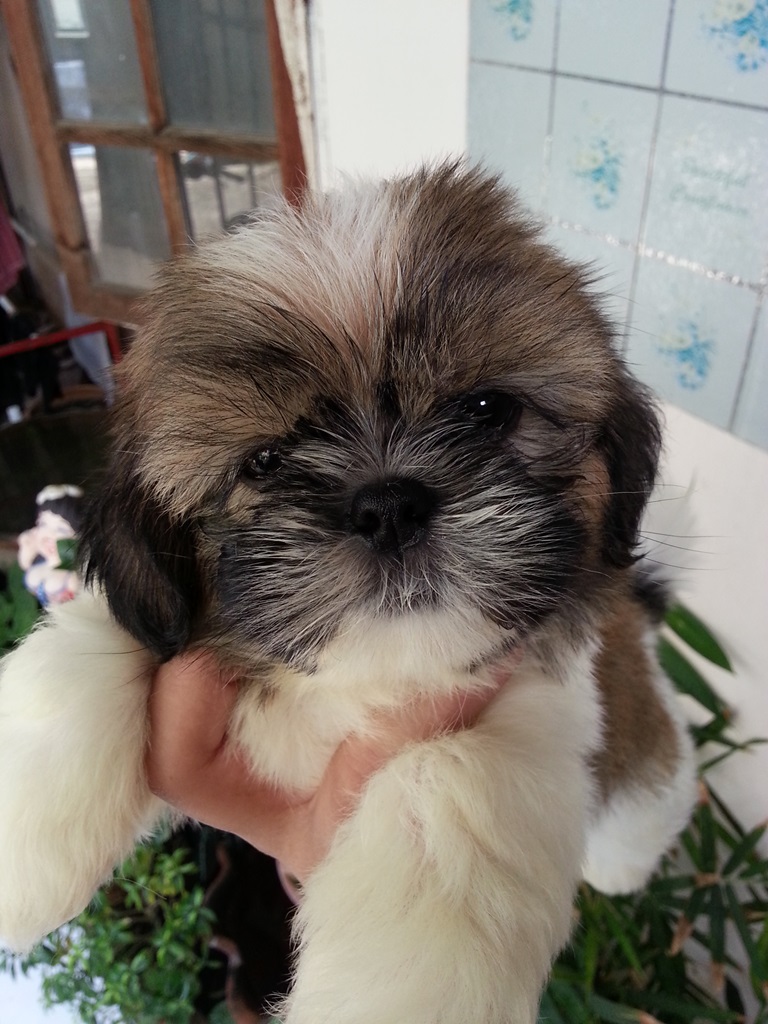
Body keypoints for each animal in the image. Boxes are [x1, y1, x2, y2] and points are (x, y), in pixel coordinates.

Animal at [0, 165, 696, 1023]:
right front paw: (27, 843)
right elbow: (100, 640)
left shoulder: (542, 702)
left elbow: (445, 768)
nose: (387, 504)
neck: (366, 681)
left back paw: (624, 862)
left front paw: (396, 987)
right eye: (265, 461)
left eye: (487, 410)